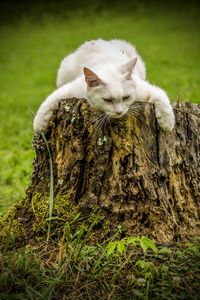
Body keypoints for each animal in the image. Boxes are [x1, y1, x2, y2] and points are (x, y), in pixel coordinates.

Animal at [33, 39, 174, 133]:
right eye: (107, 100)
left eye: (126, 97)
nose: (119, 112)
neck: (108, 65)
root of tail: (99, 41)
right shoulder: (70, 89)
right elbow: (48, 102)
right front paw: (38, 125)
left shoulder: (145, 90)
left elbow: (161, 99)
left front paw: (167, 123)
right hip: (64, 72)